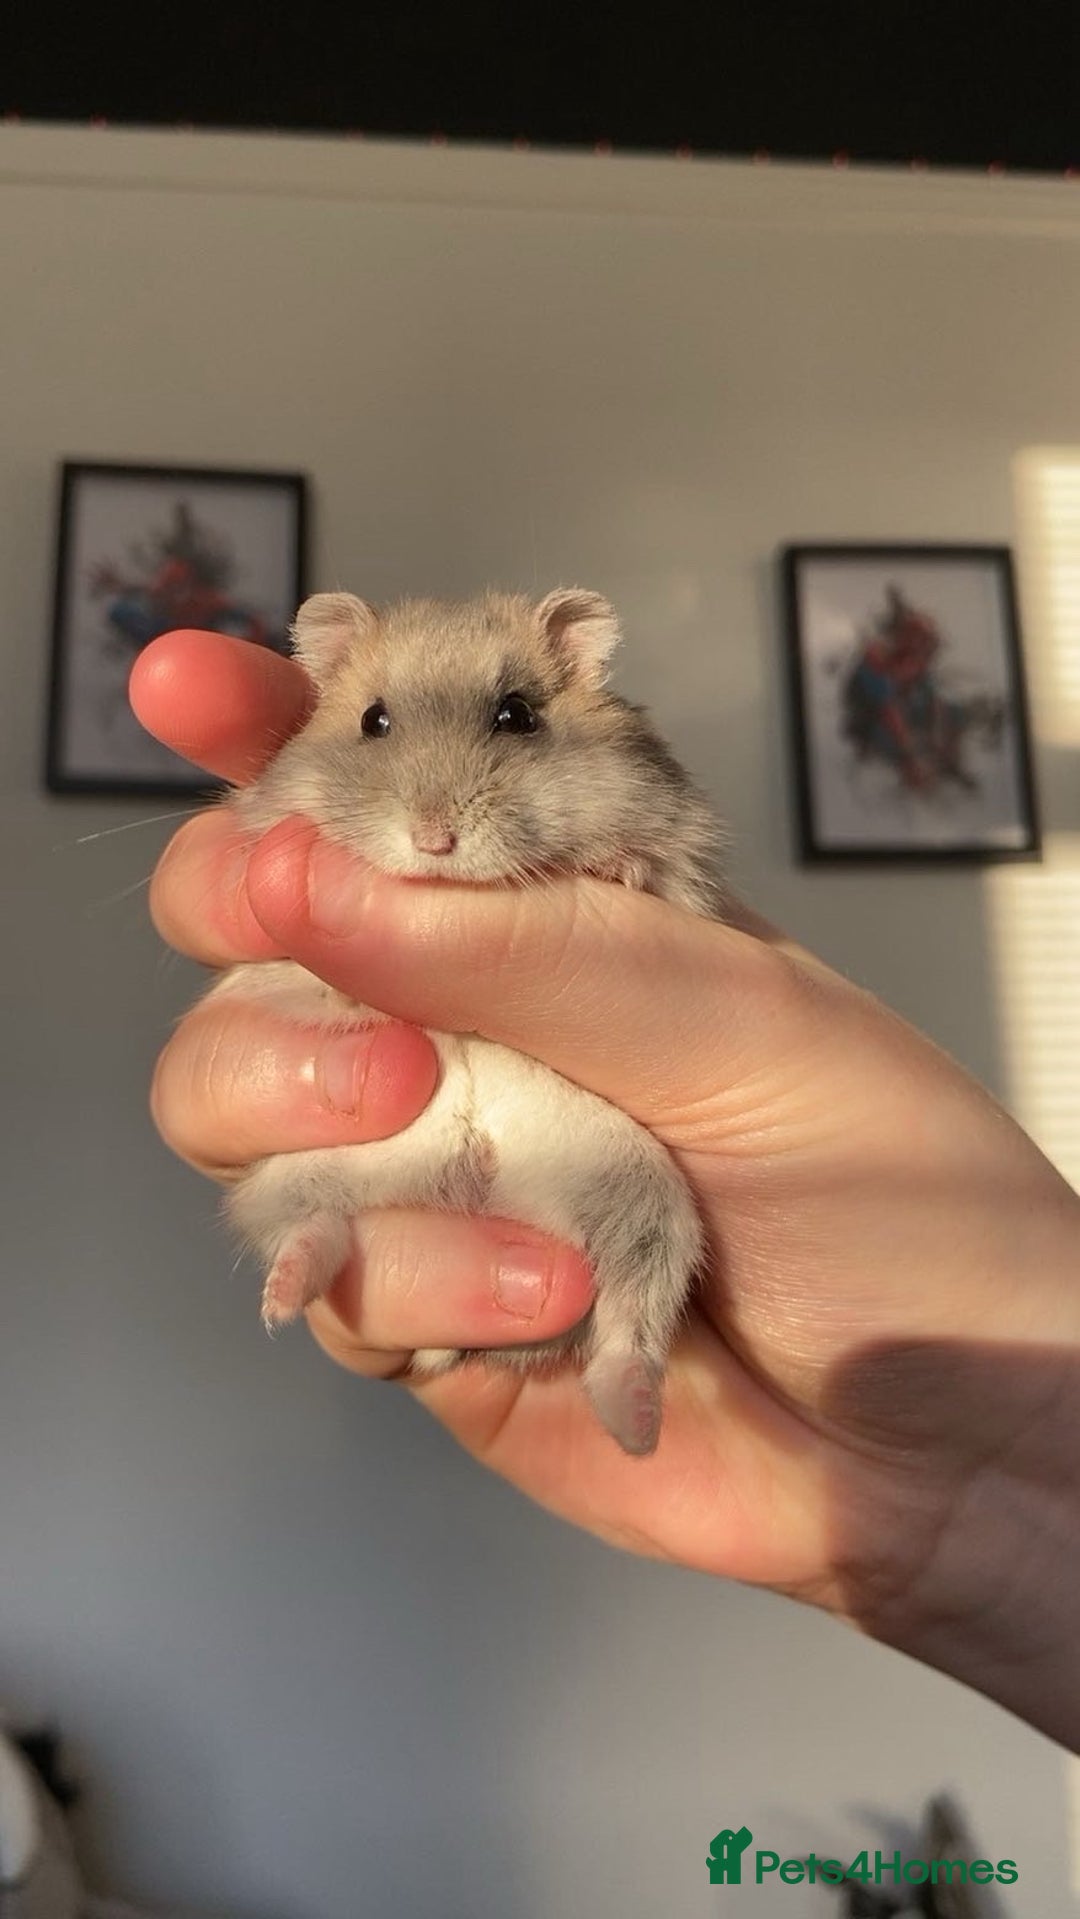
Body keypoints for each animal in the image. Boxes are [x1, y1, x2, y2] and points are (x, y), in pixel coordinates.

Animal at [205, 587, 729, 1455]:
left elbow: (648, 872)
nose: (433, 838)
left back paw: (636, 1426)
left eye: (517, 715)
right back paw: (283, 1296)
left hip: (649, 1199)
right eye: (373, 721)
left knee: (630, 1319)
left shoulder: (685, 875)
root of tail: (473, 1189)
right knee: (318, 1230)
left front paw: (610, 868)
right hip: (291, 1179)